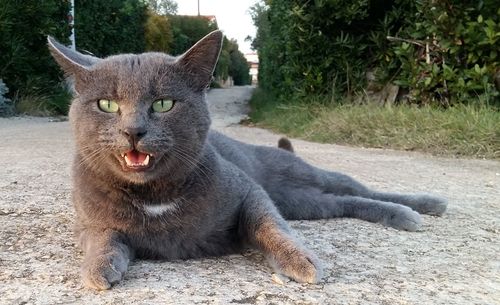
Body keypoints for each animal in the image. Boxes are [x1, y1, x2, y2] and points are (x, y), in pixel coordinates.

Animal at [46, 30, 446, 290]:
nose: (133, 130)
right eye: (107, 104)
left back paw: (421, 207)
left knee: (356, 187)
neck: (153, 196)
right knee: (345, 202)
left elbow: (271, 226)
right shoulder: (88, 222)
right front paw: (98, 269)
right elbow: (103, 236)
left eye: (163, 103)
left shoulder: (249, 191)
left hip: (302, 178)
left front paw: (300, 261)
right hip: (306, 203)